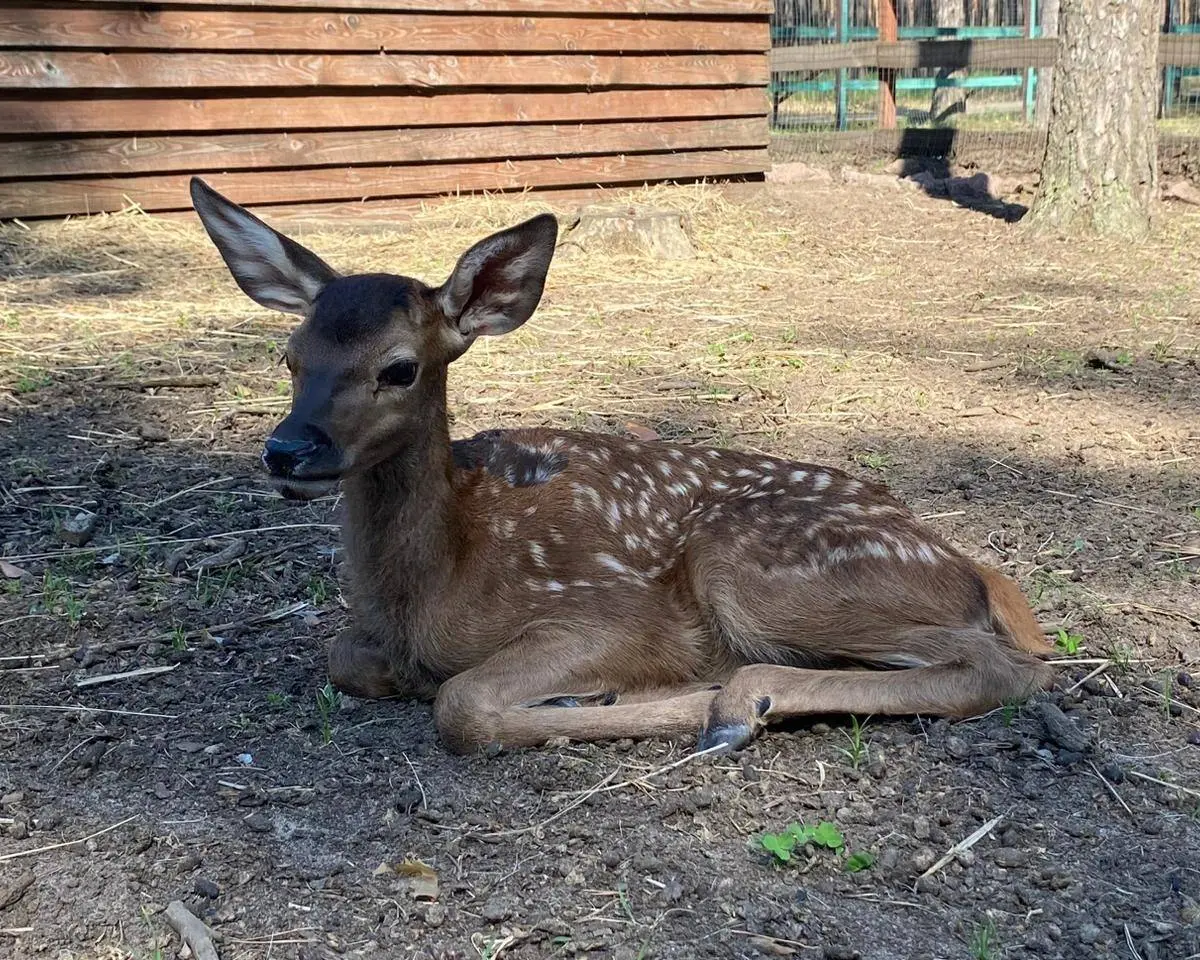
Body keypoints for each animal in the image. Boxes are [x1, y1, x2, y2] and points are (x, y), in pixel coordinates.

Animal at [192, 176, 1056, 753]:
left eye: (399, 368)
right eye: (290, 356)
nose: (288, 448)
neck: (432, 586)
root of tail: (971, 570)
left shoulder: (610, 611)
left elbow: (461, 704)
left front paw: (643, 699)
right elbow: (341, 654)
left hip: (754, 567)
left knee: (1004, 666)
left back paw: (738, 702)